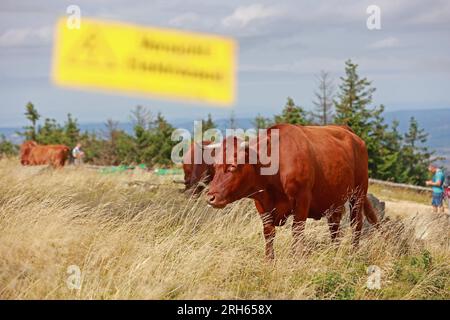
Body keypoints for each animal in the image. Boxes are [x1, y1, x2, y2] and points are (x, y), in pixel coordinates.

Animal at [207, 124, 380, 258]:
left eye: (232, 166)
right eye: (214, 167)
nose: (210, 197)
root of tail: (346, 130)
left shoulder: (302, 199)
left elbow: (297, 231)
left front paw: (296, 260)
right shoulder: (261, 204)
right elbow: (268, 233)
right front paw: (269, 261)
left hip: (358, 193)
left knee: (356, 223)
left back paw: (353, 253)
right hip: (334, 199)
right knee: (334, 226)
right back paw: (334, 252)